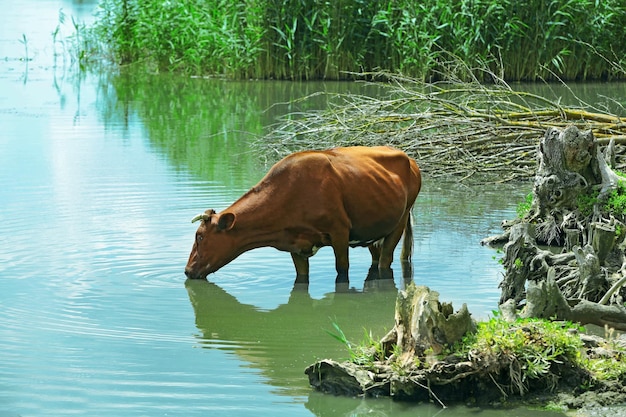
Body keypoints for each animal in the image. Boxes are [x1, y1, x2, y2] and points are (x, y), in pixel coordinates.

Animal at [184, 145, 420, 284]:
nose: (187, 271)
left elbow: (342, 270)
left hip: (399, 222)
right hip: (372, 230)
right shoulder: (295, 245)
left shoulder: (340, 232)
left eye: (200, 237)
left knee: (385, 261)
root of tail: (410, 158)